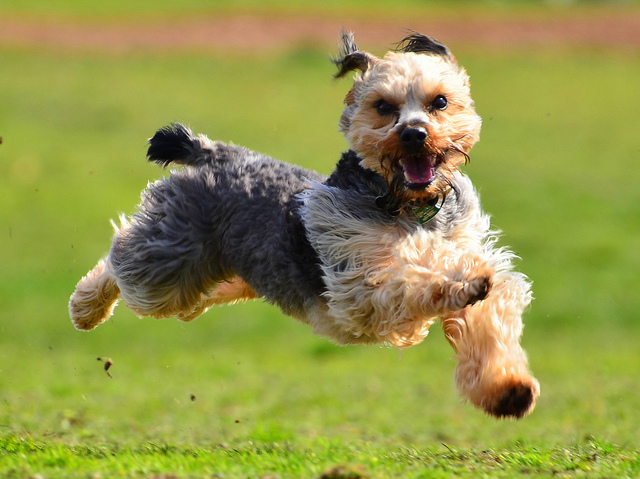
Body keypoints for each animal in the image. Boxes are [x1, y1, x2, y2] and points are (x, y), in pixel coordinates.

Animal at [69, 31, 540, 418]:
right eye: (383, 107)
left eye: (438, 102)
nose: (414, 134)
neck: (409, 205)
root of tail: (214, 152)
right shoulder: (358, 280)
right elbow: (411, 271)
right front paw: (460, 278)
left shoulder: (469, 257)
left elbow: (489, 320)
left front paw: (509, 391)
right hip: (169, 265)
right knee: (121, 261)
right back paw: (85, 308)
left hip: (213, 280)